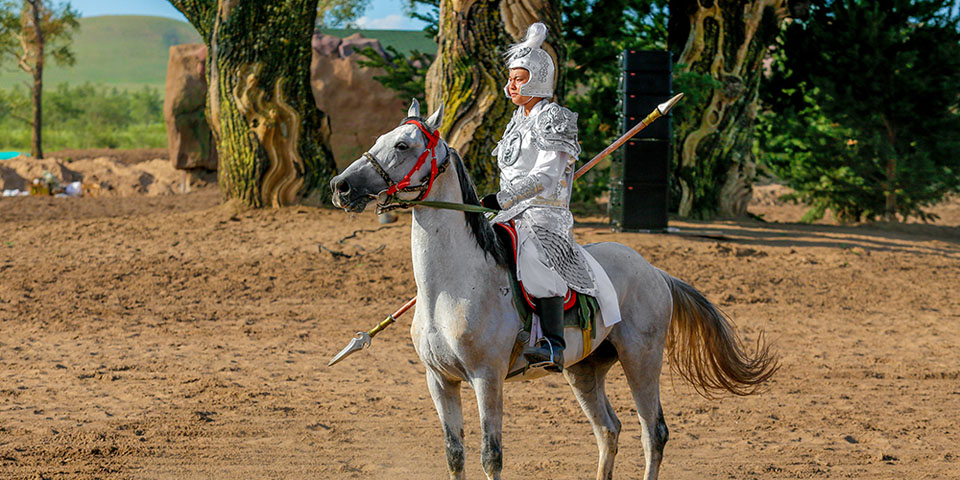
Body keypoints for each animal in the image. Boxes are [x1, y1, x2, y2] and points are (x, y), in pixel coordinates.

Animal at [330, 99, 777, 480]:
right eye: (380, 140)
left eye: (403, 145)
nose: (341, 186)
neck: (449, 288)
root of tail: (653, 270)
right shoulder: (440, 380)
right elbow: (454, 455)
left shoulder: (486, 379)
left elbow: (491, 457)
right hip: (584, 369)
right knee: (609, 429)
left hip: (642, 358)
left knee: (653, 432)